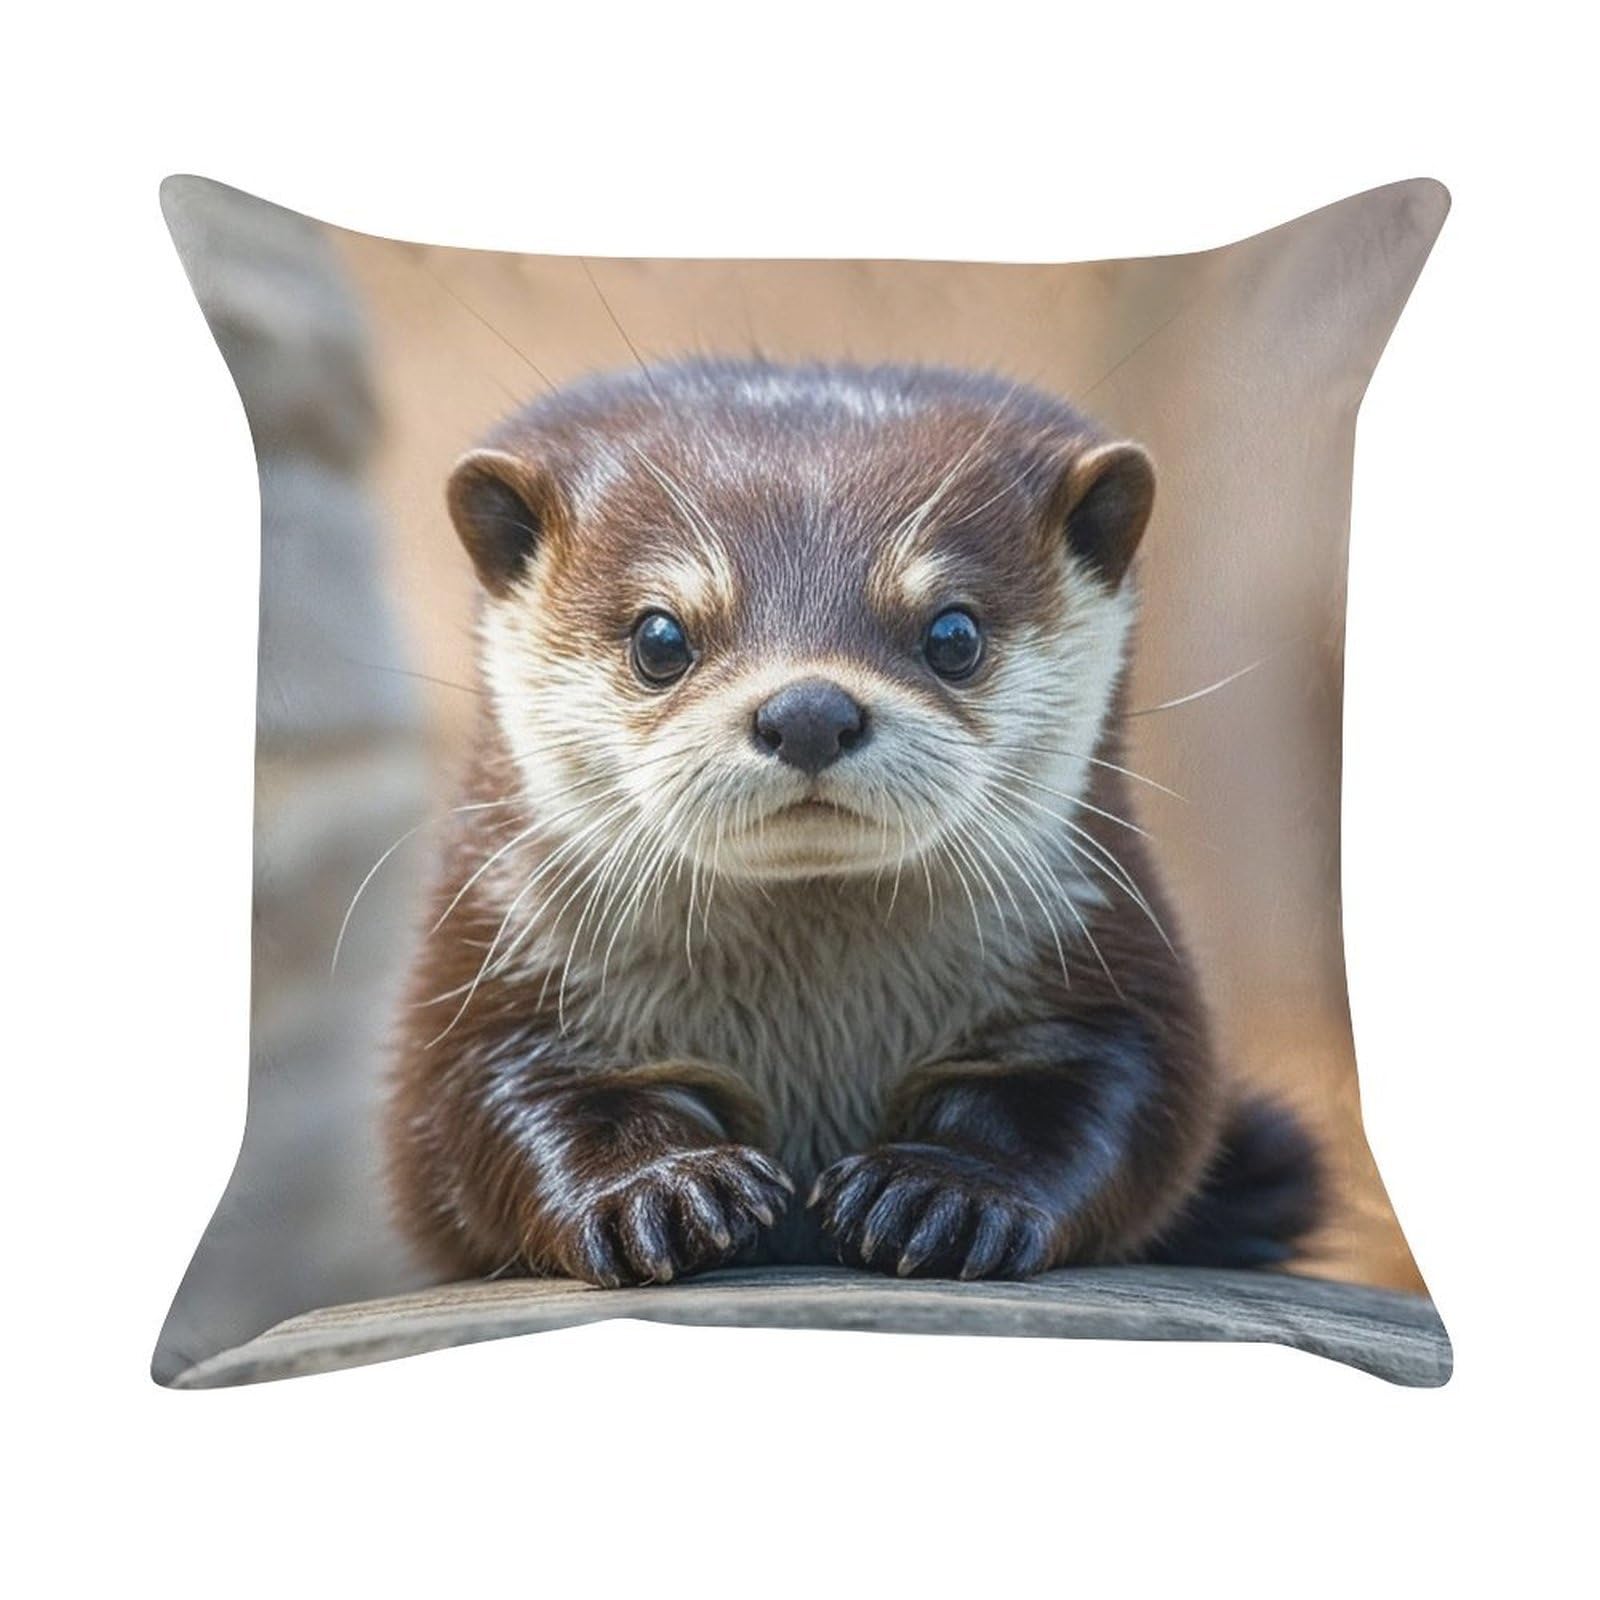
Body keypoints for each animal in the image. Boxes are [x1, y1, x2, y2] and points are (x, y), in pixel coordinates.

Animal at [385, 358, 1320, 1286]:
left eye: (953, 633)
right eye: (659, 638)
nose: (808, 711)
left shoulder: (1107, 961)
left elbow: (1114, 1094)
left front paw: (944, 1192)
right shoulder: (498, 970)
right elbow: (490, 1104)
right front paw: (661, 1186)